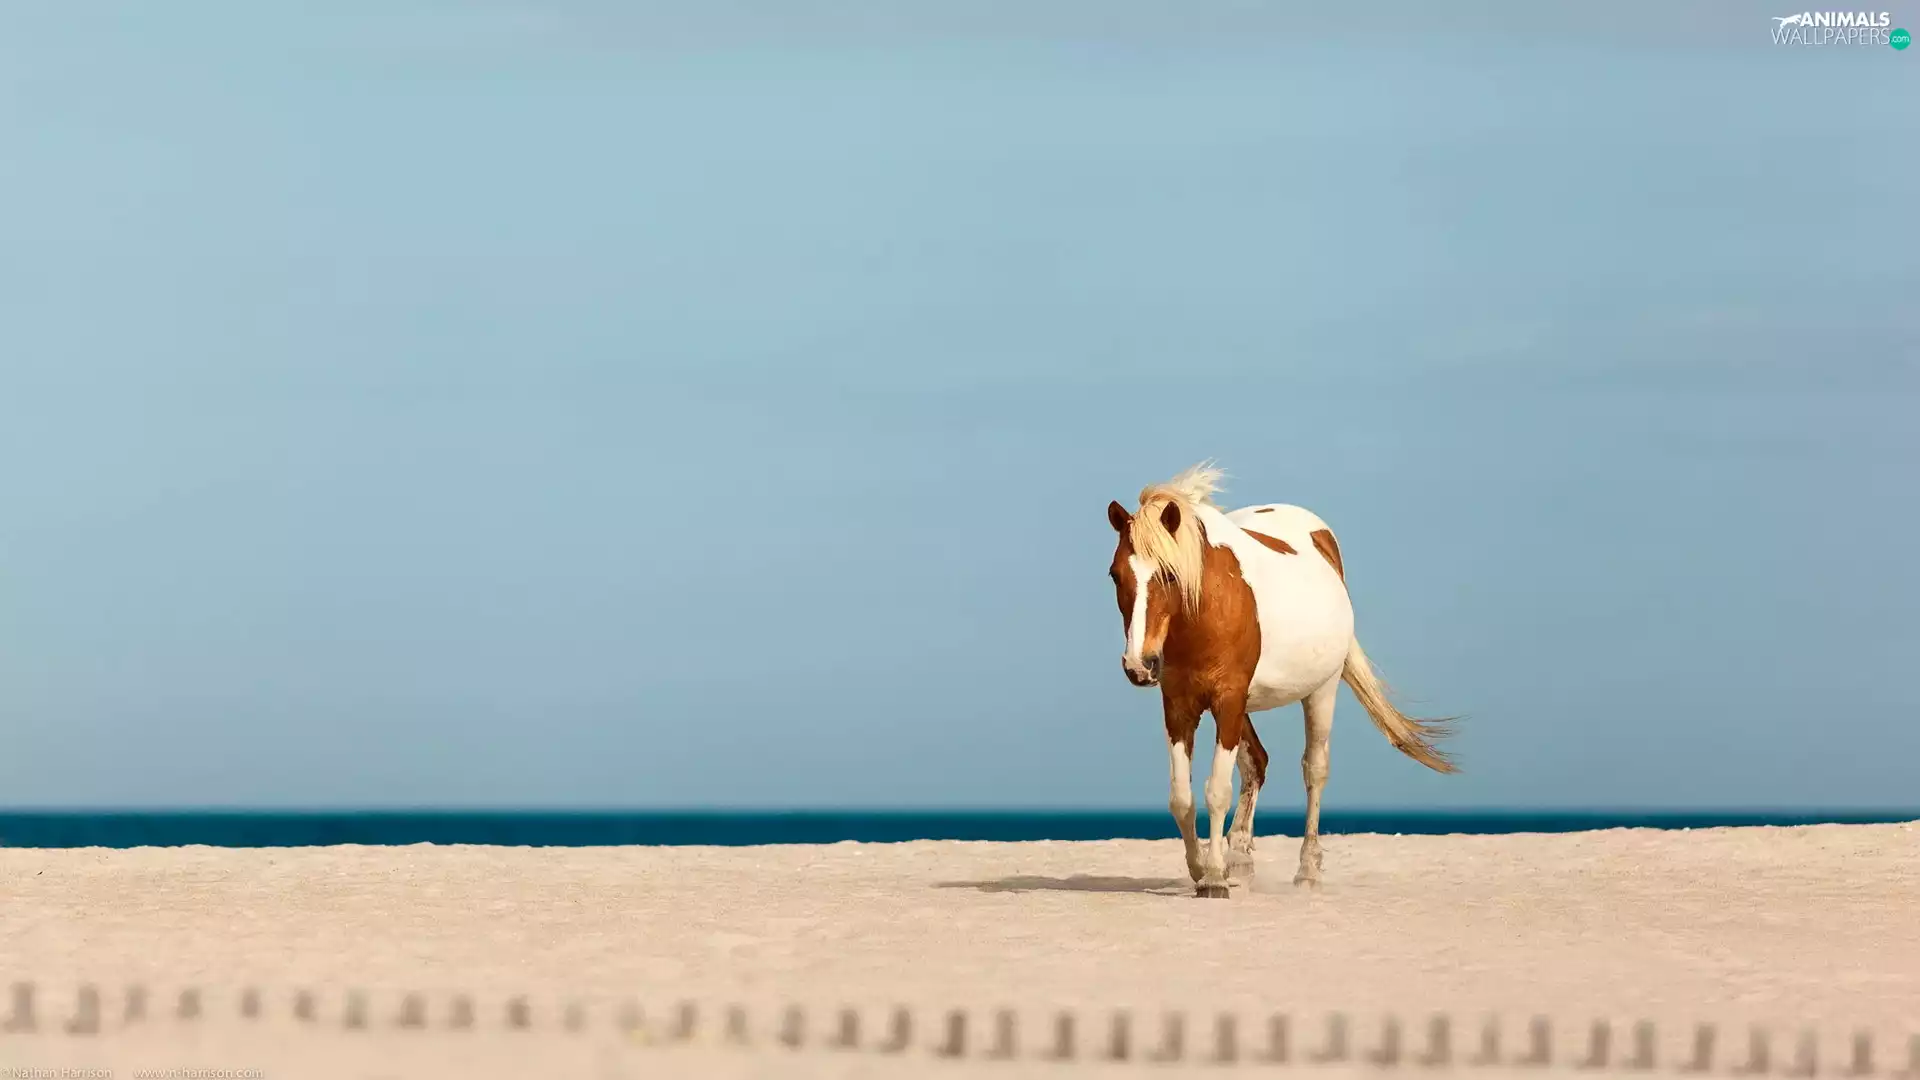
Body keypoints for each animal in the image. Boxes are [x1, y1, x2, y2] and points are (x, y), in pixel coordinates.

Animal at [1105, 463, 1458, 897]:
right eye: (1115, 575)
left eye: (1170, 575)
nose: (1140, 665)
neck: (1205, 611)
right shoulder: (1179, 706)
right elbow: (1181, 798)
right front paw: (1200, 867)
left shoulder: (1227, 701)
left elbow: (1216, 791)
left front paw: (1214, 877)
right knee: (1256, 763)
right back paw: (1241, 861)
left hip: (1320, 692)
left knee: (1314, 770)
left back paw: (1306, 871)